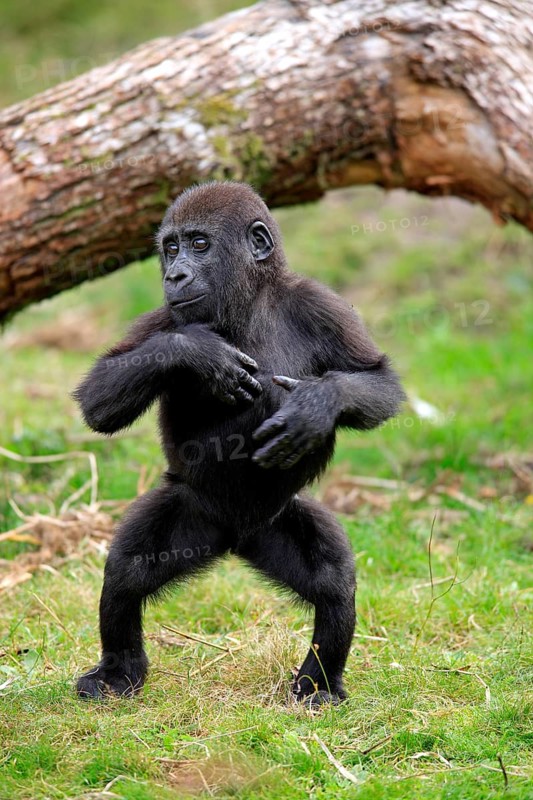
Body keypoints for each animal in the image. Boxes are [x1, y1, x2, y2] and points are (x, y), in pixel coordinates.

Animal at [74, 181, 405, 706]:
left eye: (199, 244)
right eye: (171, 248)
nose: (176, 273)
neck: (249, 301)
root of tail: (233, 537)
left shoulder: (321, 305)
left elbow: (377, 380)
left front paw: (315, 404)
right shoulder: (162, 319)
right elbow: (99, 400)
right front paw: (198, 352)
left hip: (273, 521)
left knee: (332, 583)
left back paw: (320, 682)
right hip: (194, 511)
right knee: (127, 571)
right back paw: (117, 671)